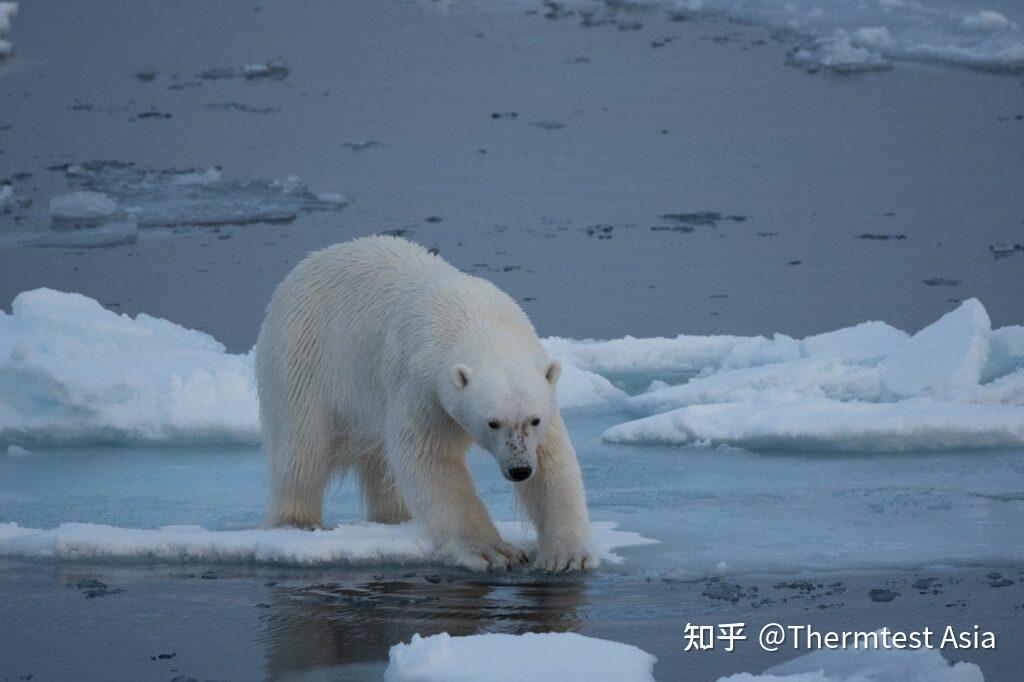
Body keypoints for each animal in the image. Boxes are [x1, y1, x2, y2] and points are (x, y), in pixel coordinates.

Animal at [256, 233, 598, 569]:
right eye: (493, 423)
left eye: (533, 420)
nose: (520, 469)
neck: (476, 321)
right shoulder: (423, 385)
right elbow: (431, 459)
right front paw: (493, 551)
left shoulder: (540, 389)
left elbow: (554, 461)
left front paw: (566, 555)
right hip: (305, 354)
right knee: (302, 446)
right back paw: (296, 521)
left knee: (381, 463)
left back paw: (395, 516)